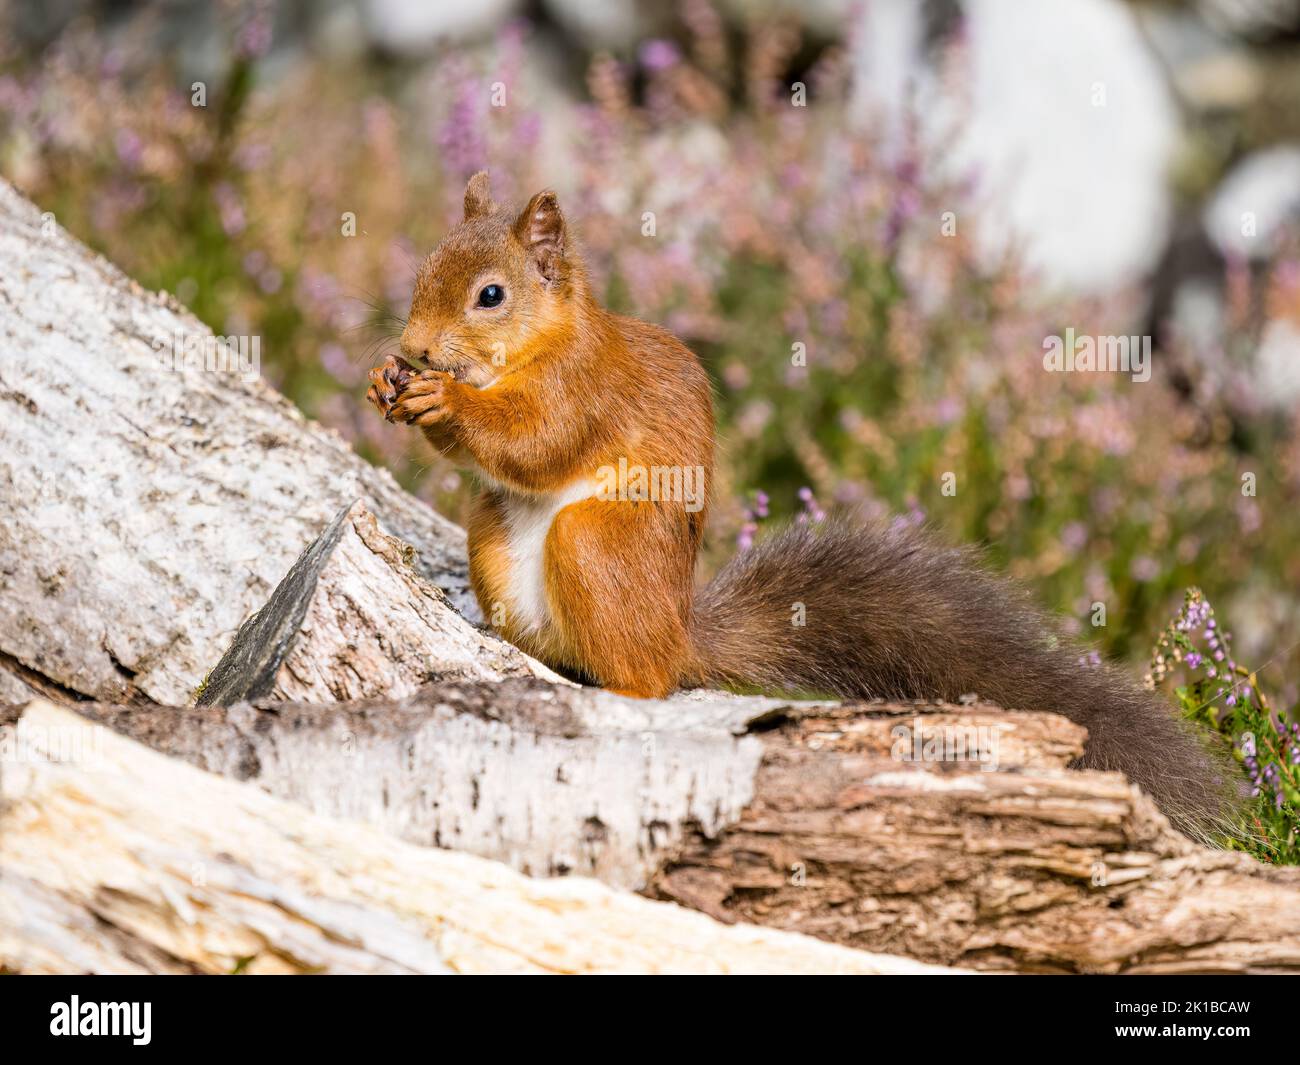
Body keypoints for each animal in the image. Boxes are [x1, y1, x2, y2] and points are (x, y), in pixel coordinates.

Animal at [366, 170, 1237, 837]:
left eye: (490, 295)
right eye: (423, 268)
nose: (412, 348)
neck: (540, 342)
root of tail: (681, 637)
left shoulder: (584, 387)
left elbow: (536, 440)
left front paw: (445, 399)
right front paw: (387, 383)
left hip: (598, 543)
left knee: (644, 679)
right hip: (491, 531)